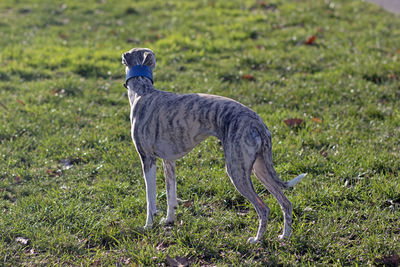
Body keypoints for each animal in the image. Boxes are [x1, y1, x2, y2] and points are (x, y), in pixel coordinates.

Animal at [120, 47, 304, 244]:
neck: (143, 91)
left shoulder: (147, 159)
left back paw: (256, 240)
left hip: (236, 170)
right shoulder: (168, 161)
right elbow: (171, 196)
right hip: (259, 167)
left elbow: (150, 199)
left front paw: (148, 226)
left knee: (264, 208)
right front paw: (169, 220)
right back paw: (285, 236)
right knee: (285, 203)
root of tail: (257, 122)